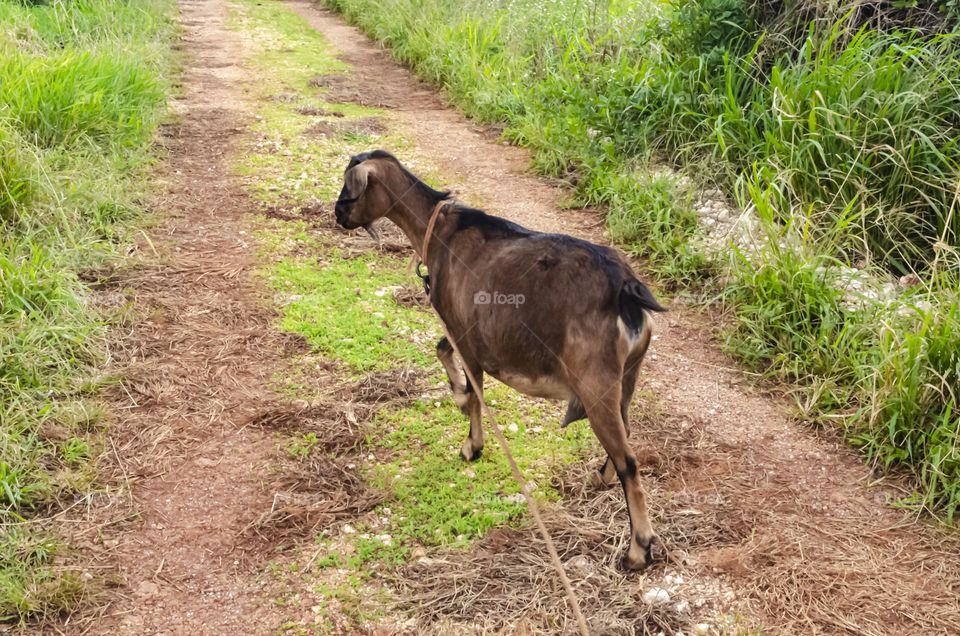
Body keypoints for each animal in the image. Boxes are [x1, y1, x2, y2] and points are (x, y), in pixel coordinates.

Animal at [334, 150, 666, 570]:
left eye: (349, 187)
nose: (337, 214)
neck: (439, 230)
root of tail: (625, 287)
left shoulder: (464, 333)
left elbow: (474, 390)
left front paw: (471, 444)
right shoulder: (462, 331)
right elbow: (442, 350)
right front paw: (458, 397)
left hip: (596, 384)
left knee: (630, 463)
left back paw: (639, 549)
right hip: (627, 377)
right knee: (625, 435)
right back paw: (602, 477)